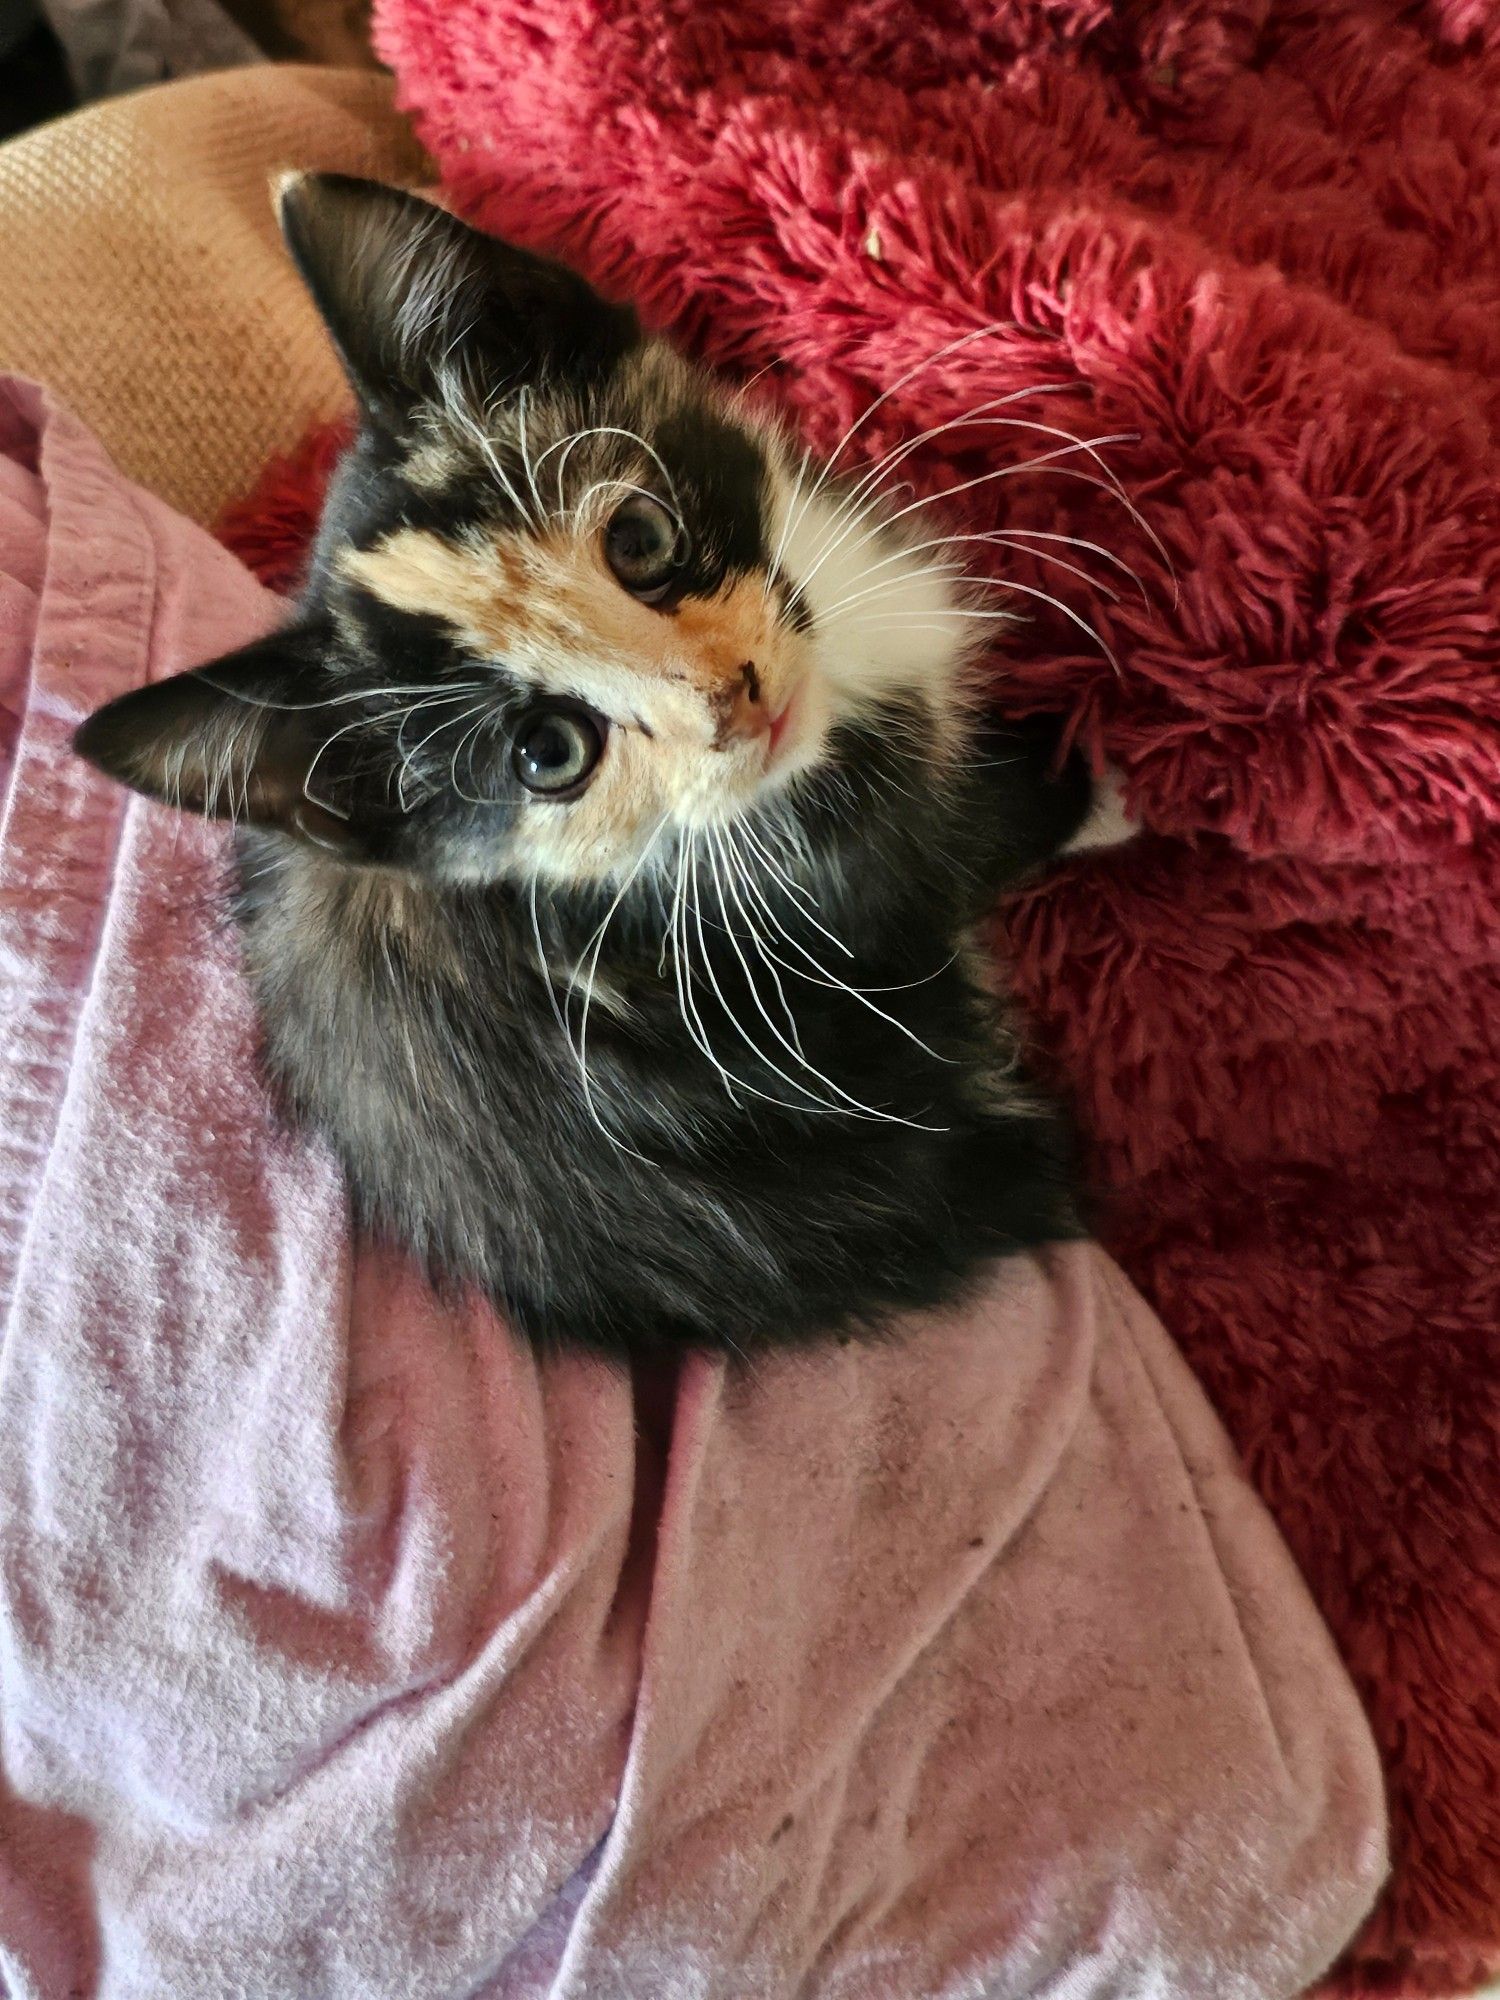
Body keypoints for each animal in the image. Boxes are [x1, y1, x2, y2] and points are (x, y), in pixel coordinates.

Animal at [73, 176, 1128, 1360]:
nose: (739, 701)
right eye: (549, 753)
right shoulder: (856, 879)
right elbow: (978, 829)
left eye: (640, 539)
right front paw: (1102, 781)